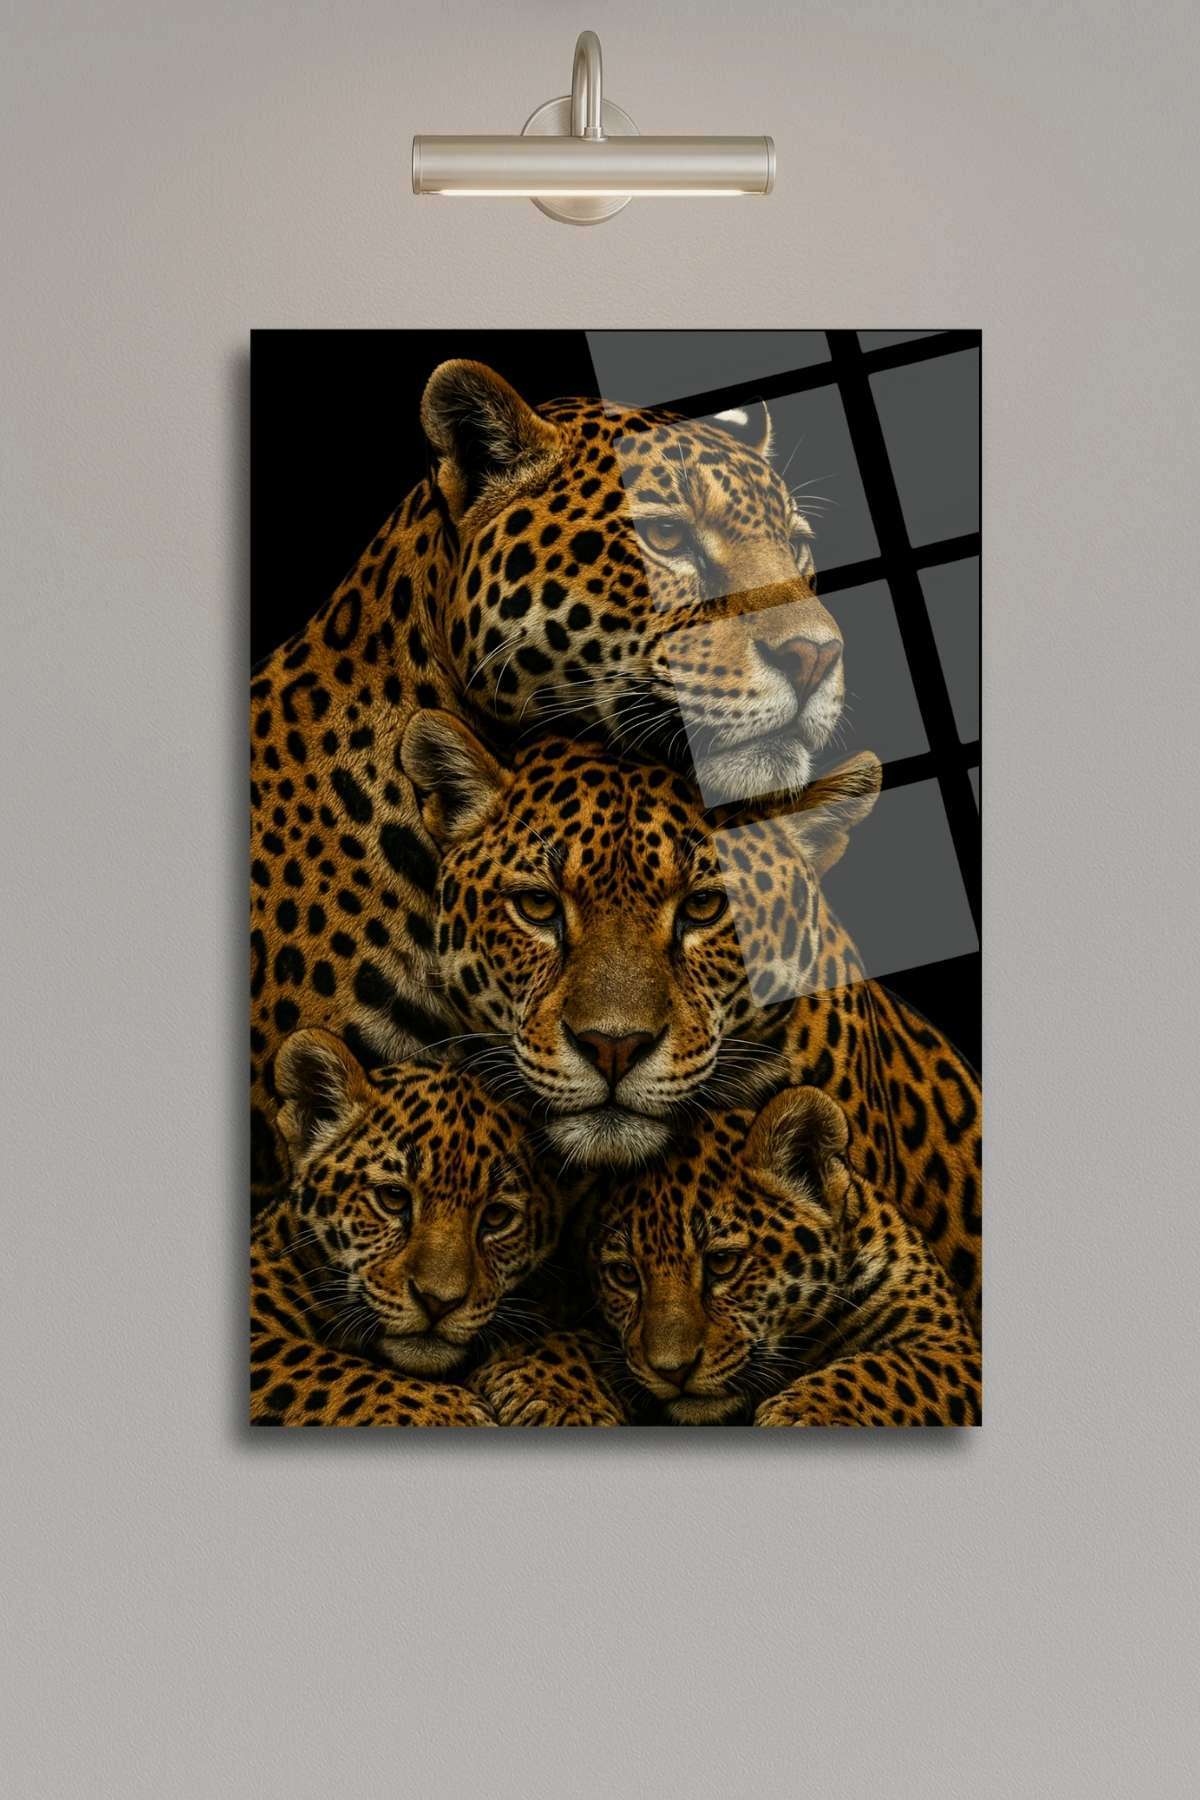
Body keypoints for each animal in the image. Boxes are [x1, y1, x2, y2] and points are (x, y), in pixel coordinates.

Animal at [590, 1085, 980, 1426]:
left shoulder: (952, 1349)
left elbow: (883, 1371)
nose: (672, 1371)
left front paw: (799, 1412)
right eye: (625, 1274)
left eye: (722, 1263)